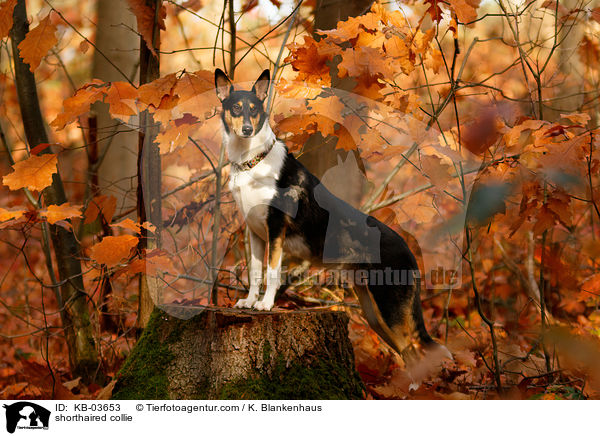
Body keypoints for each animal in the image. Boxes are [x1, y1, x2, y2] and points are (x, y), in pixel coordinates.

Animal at [213, 67, 448, 362]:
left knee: (413, 355)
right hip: (374, 313)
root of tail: (410, 250)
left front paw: (265, 305)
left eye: (254, 110)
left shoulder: (276, 228)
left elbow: (272, 272)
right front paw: (249, 302)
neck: (253, 161)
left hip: (389, 308)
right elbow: (256, 272)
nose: (246, 129)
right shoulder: (256, 233)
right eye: (236, 108)